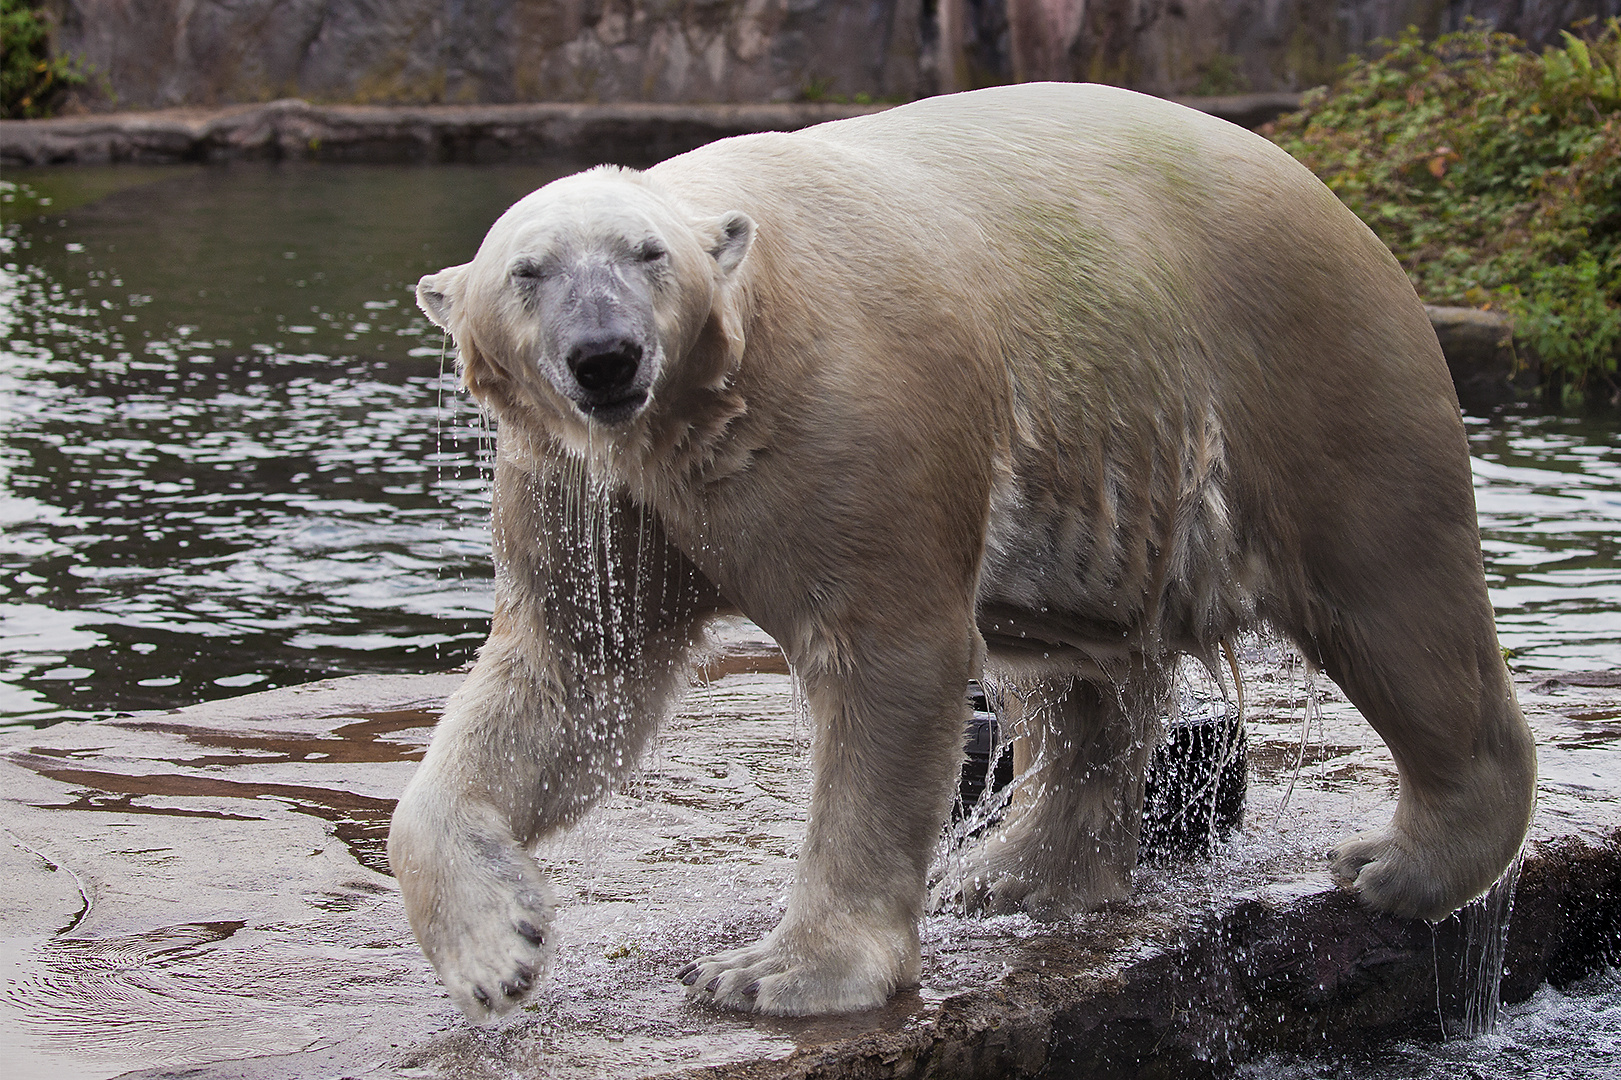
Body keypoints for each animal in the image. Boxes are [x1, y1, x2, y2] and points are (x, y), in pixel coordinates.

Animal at [385, 79, 1536, 1011]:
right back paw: (1009, 872)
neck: (700, 406)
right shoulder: (585, 480)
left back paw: (1401, 862)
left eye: (647, 254)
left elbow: (885, 656)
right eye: (528, 270)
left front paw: (776, 974)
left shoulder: (846, 407)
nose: (607, 356)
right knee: (1079, 675)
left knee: (1393, 599)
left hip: (1313, 370)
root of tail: (1334, 200)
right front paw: (498, 950)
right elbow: (577, 672)